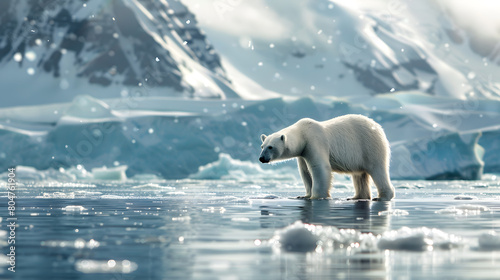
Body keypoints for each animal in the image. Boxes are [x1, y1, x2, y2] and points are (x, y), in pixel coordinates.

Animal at [258, 115, 394, 200]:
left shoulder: (314, 141)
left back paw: (382, 197)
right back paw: (356, 197)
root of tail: (378, 127)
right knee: (359, 175)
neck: (302, 133)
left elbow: (319, 168)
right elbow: (305, 172)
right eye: (262, 146)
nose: (261, 158)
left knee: (377, 169)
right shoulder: (303, 153)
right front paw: (304, 195)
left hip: (369, 146)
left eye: (270, 147)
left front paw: (317, 196)